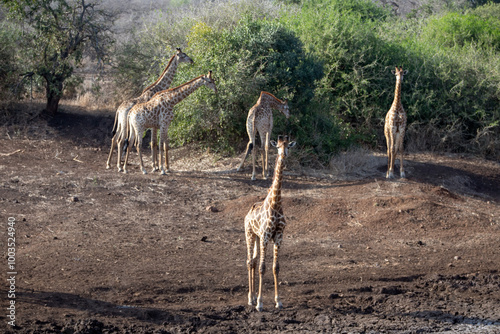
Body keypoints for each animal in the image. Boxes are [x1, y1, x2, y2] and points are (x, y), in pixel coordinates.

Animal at [244, 134, 294, 312]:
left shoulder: (278, 236)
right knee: (250, 262)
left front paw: (278, 301)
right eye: (277, 147)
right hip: (250, 234)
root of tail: (247, 214)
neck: (276, 204)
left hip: (257, 238)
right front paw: (260, 303)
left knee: (253, 260)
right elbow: (262, 268)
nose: (283, 155)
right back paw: (250, 299)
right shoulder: (266, 237)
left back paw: (252, 297)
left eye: (288, 146)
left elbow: (275, 267)